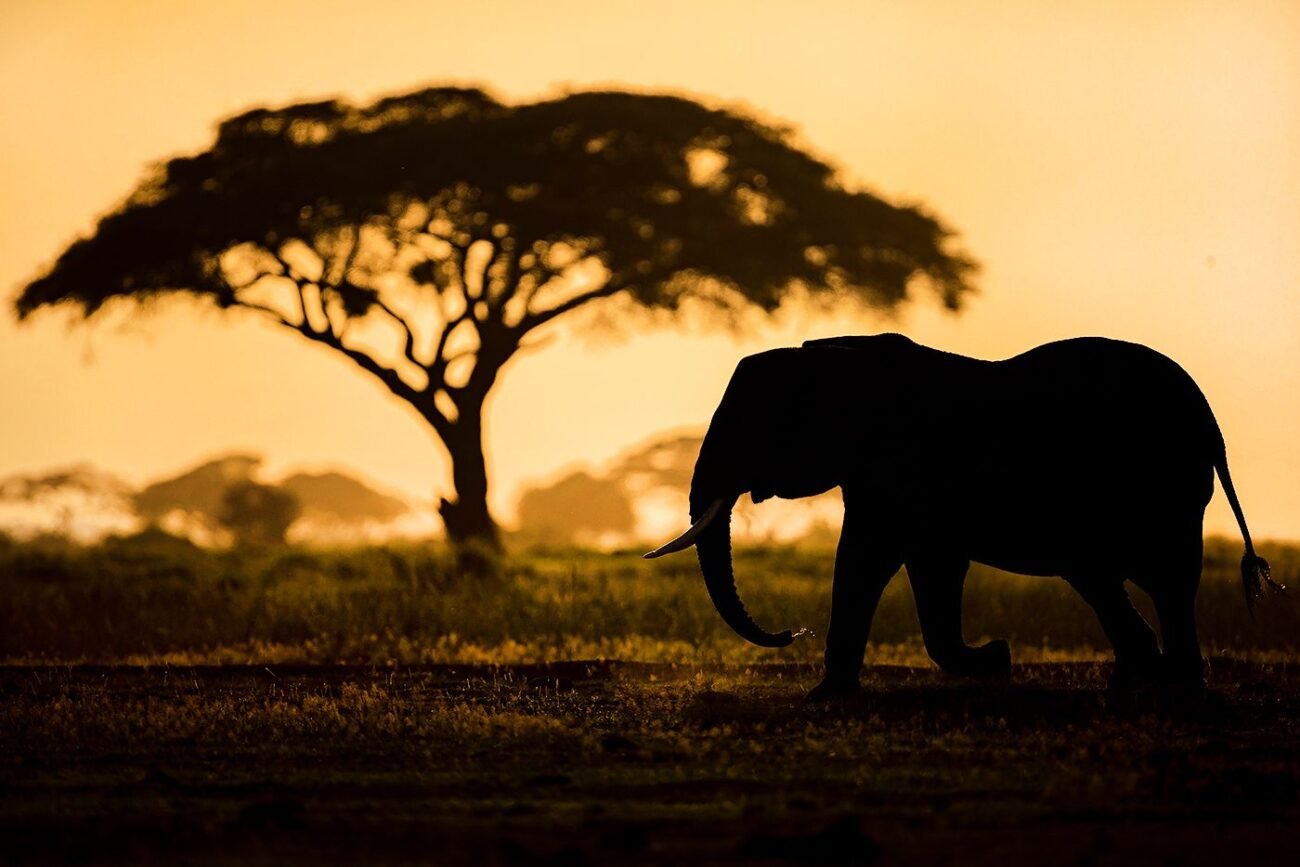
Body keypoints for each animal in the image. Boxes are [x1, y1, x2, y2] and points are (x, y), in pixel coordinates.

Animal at [646, 334, 1280, 700]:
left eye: (749, 426)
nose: (790, 631)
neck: (836, 359)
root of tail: (1210, 423)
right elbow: (895, 565)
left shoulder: (905, 466)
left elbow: (896, 561)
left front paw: (993, 660)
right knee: (1144, 581)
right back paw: (1151, 681)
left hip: (1153, 484)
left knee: (1133, 575)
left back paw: (1159, 683)